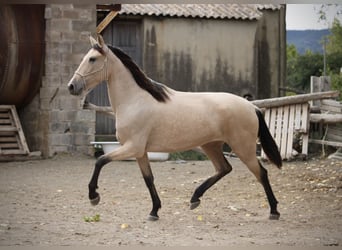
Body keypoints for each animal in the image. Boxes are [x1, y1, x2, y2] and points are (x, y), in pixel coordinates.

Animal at [67, 34, 284, 221]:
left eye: (92, 59)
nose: (72, 86)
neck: (134, 101)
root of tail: (251, 106)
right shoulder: (140, 152)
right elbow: (148, 179)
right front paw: (154, 211)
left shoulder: (132, 147)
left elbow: (100, 161)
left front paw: (94, 196)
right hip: (211, 145)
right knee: (225, 168)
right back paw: (195, 199)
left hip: (243, 148)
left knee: (261, 173)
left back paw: (274, 211)